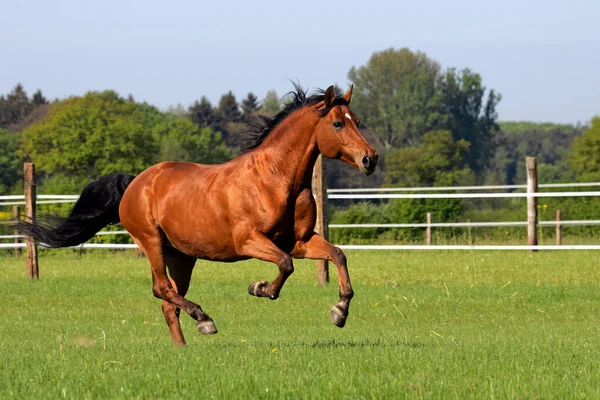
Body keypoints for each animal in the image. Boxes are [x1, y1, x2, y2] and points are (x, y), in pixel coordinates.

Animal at [17, 85, 380, 346]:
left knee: (168, 301)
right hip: (151, 242)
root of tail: (135, 182)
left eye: (358, 122)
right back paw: (205, 320)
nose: (370, 159)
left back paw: (183, 347)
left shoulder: (299, 241)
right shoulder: (250, 241)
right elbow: (284, 266)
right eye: (337, 123)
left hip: (182, 256)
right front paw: (260, 288)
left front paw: (339, 312)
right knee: (162, 290)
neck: (276, 179)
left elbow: (337, 255)